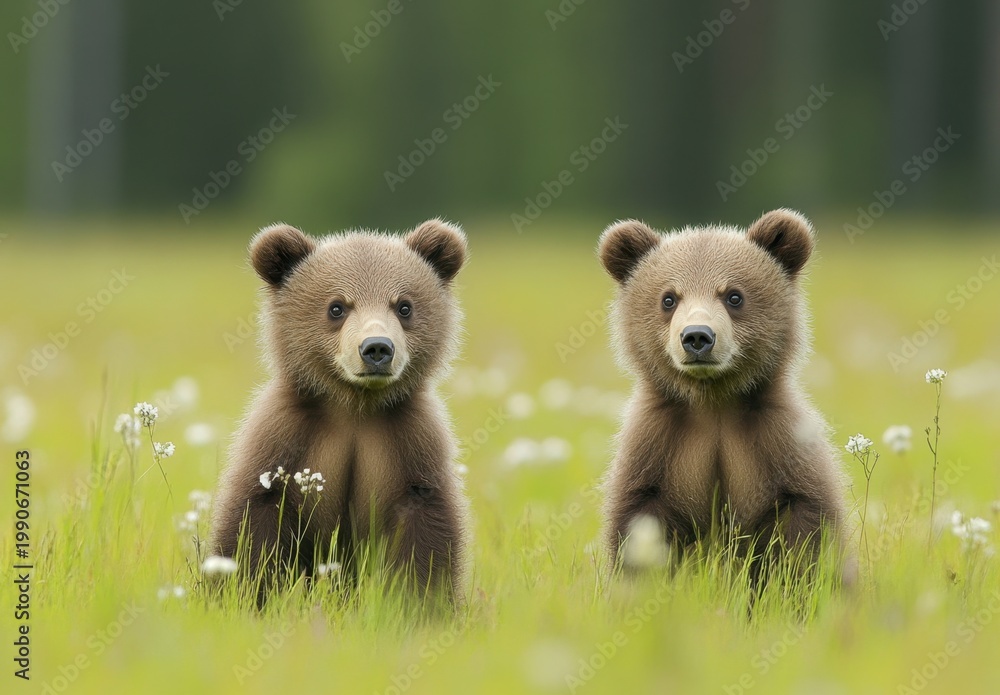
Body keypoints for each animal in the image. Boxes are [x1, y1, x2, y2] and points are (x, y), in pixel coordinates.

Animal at [209, 218, 471, 600]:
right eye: (337, 306)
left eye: (404, 306)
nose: (377, 348)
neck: (355, 407)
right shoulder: (285, 434)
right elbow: (253, 521)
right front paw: (248, 592)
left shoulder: (412, 442)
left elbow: (426, 534)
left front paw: (417, 602)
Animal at [597, 208, 848, 582]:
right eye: (668, 298)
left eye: (734, 295)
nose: (697, 336)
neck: (713, 401)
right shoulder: (657, 447)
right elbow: (638, 525)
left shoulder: (778, 443)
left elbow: (806, 530)